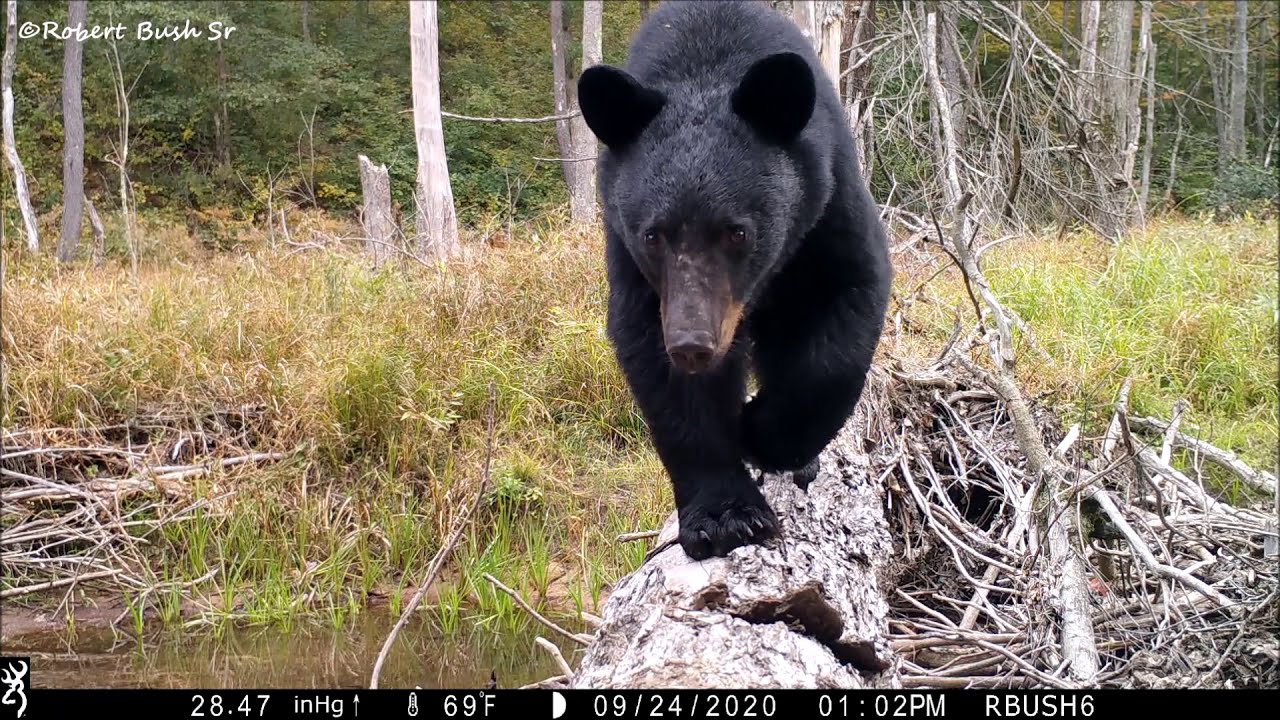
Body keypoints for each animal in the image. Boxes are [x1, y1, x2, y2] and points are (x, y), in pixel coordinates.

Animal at [576, 0, 891, 561]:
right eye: (653, 235)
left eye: (737, 231)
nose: (692, 344)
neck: (707, 63)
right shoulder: (633, 261)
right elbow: (658, 365)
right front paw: (725, 516)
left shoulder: (830, 201)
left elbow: (847, 304)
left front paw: (763, 434)